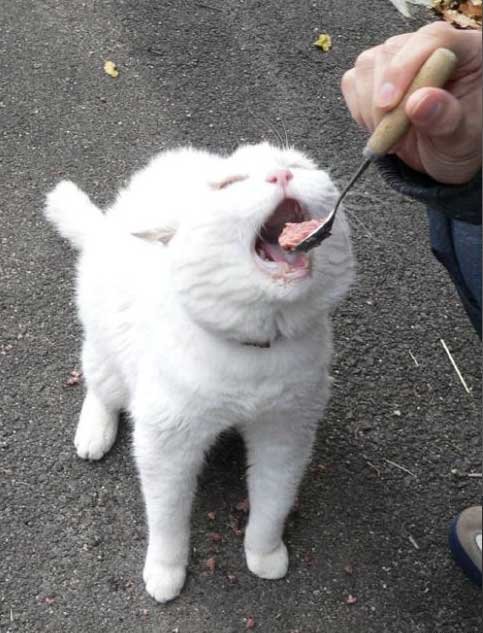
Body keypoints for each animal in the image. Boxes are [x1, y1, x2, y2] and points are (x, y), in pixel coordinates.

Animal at [44, 142, 354, 603]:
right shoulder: (167, 443)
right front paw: (165, 571)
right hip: (108, 350)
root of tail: (106, 226)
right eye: (230, 184)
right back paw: (94, 432)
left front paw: (265, 554)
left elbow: (273, 499)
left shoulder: (286, 431)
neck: (253, 351)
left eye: (298, 166)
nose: (281, 175)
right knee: (101, 386)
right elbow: (167, 516)